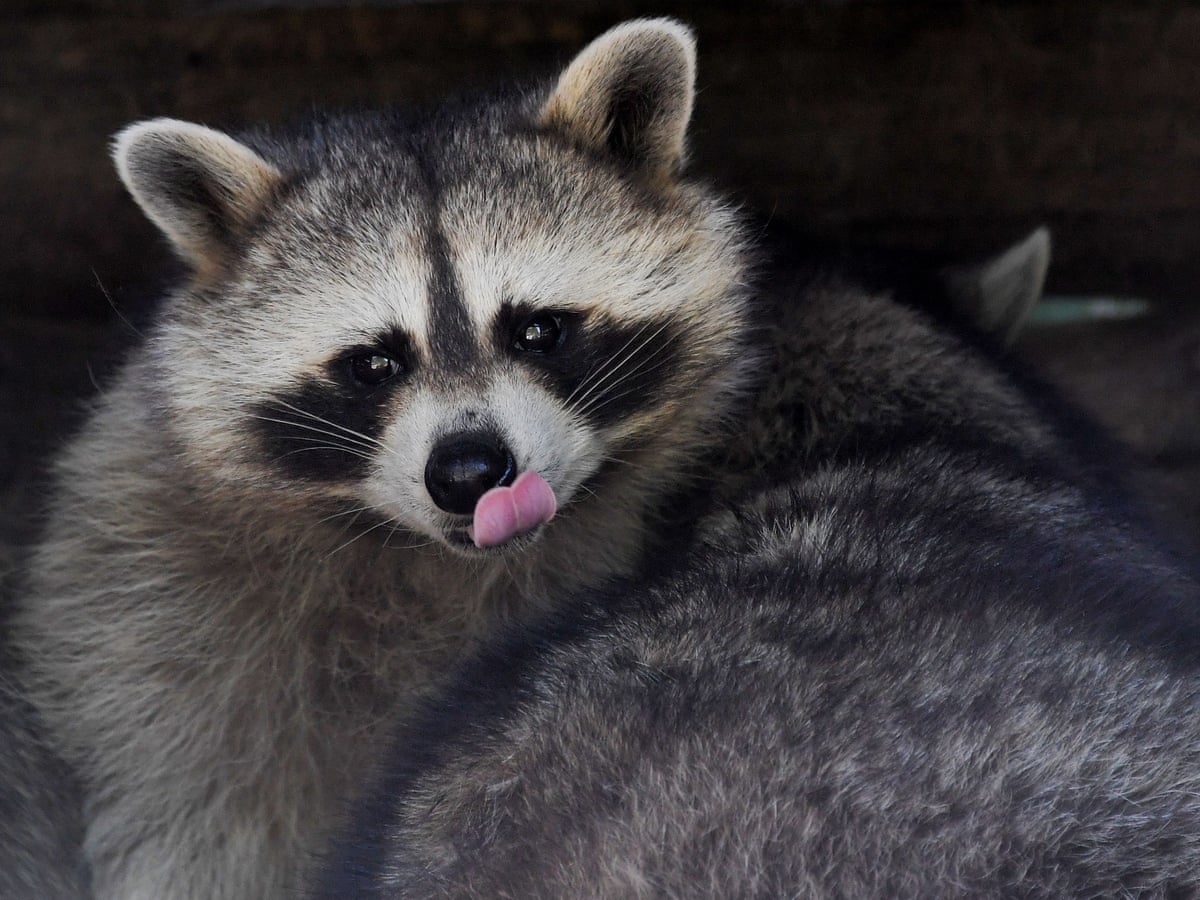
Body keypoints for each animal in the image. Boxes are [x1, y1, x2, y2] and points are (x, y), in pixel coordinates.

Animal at [13, 19, 756, 899]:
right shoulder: (161, 612)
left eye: (537, 329)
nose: (469, 474)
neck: (428, 559)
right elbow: (199, 800)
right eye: (374, 363)